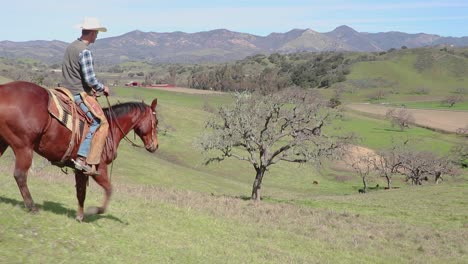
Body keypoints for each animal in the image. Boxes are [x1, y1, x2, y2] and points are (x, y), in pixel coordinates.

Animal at [0, 81, 159, 221]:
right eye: (156, 122)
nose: (155, 146)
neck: (111, 129)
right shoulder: (98, 168)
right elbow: (109, 189)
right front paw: (94, 210)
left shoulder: (80, 170)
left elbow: (81, 192)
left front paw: (80, 216)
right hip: (23, 147)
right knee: (20, 175)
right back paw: (32, 206)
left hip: (4, 143)